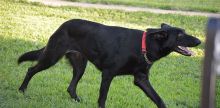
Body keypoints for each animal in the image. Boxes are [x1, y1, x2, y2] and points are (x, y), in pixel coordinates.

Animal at [18, 19, 201, 107]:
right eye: (180, 35)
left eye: (184, 32)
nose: (199, 41)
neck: (144, 45)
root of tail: (61, 26)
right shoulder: (108, 74)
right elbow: (102, 98)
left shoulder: (141, 79)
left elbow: (159, 99)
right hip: (52, 56)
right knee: (30, 69)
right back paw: (22, 90)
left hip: (80, 65)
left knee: (71, 87)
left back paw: (77, 100)